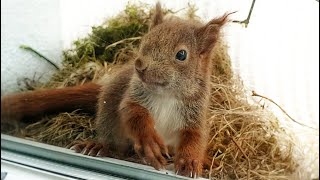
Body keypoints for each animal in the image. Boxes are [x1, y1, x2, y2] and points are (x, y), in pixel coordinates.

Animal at [1, 3, 229, 178]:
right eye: (144, 41)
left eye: (181, 55)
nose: (140, 66)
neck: (166, 96)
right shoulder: (133, 97)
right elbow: (133, 114)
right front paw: (149, 141)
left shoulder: (195, 112)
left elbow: (195, 137)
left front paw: (191, 161)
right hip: (110, 118)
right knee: (115, 145)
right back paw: (101, 147)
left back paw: (205, 160)